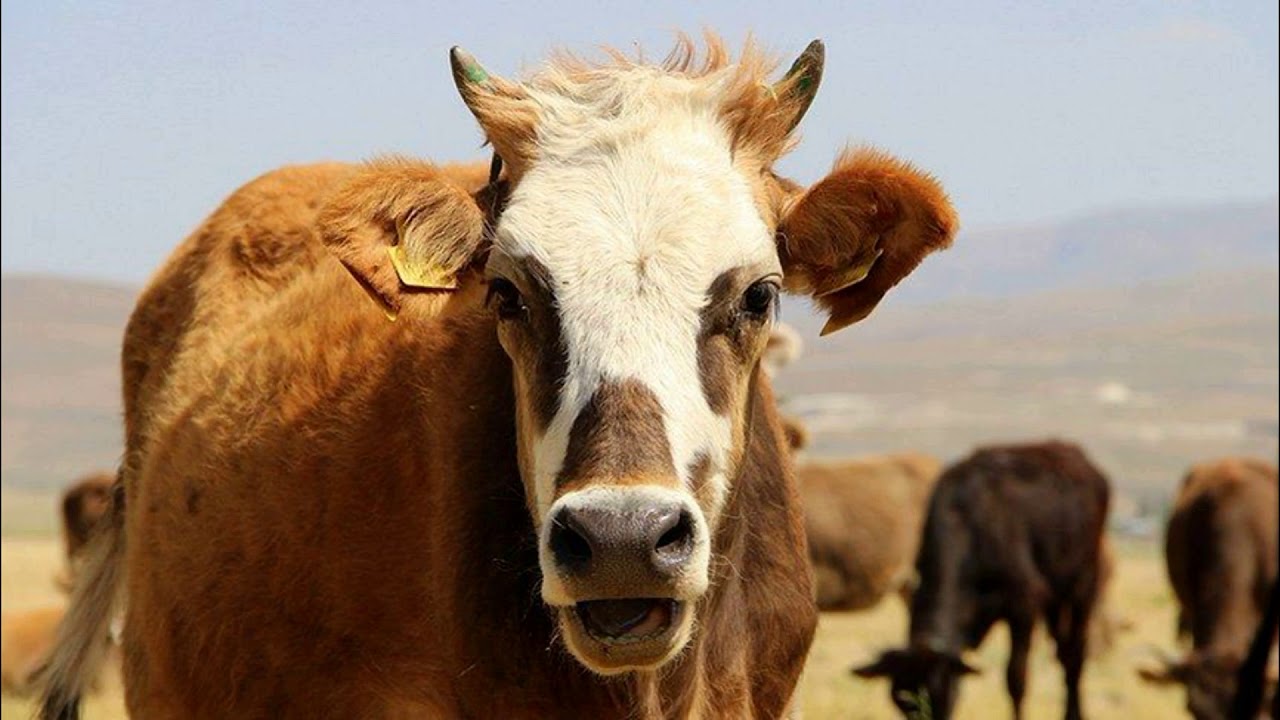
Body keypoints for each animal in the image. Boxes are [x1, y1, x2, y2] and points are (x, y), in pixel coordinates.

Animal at [855, 438, 1116, 717]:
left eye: (940, 693)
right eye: (901, 700)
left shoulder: (1023, 606)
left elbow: (1016, 679)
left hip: (1082, 587)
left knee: (1074, 655)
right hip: (1055, 600)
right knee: (1064, 652)